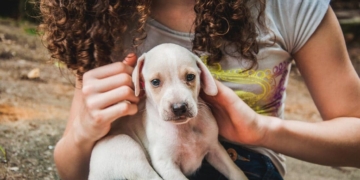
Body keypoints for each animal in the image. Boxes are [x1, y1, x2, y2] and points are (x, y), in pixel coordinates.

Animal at [89, 43, 248, 180]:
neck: (185, 127)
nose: (179, 108)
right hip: (126, 147)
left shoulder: (216, 149)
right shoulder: (166, 164)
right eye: (155, 82)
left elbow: (236, 172)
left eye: (190, 77)